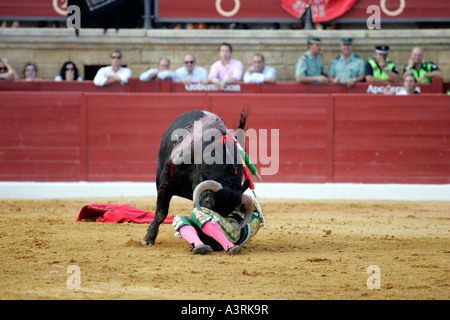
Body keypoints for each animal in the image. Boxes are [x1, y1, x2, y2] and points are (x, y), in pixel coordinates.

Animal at [142, 109, 253, 246]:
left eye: (229, 210)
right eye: (208, 201)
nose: (211, 242)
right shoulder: (165, 183)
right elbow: (161, 213)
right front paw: (148, 238)